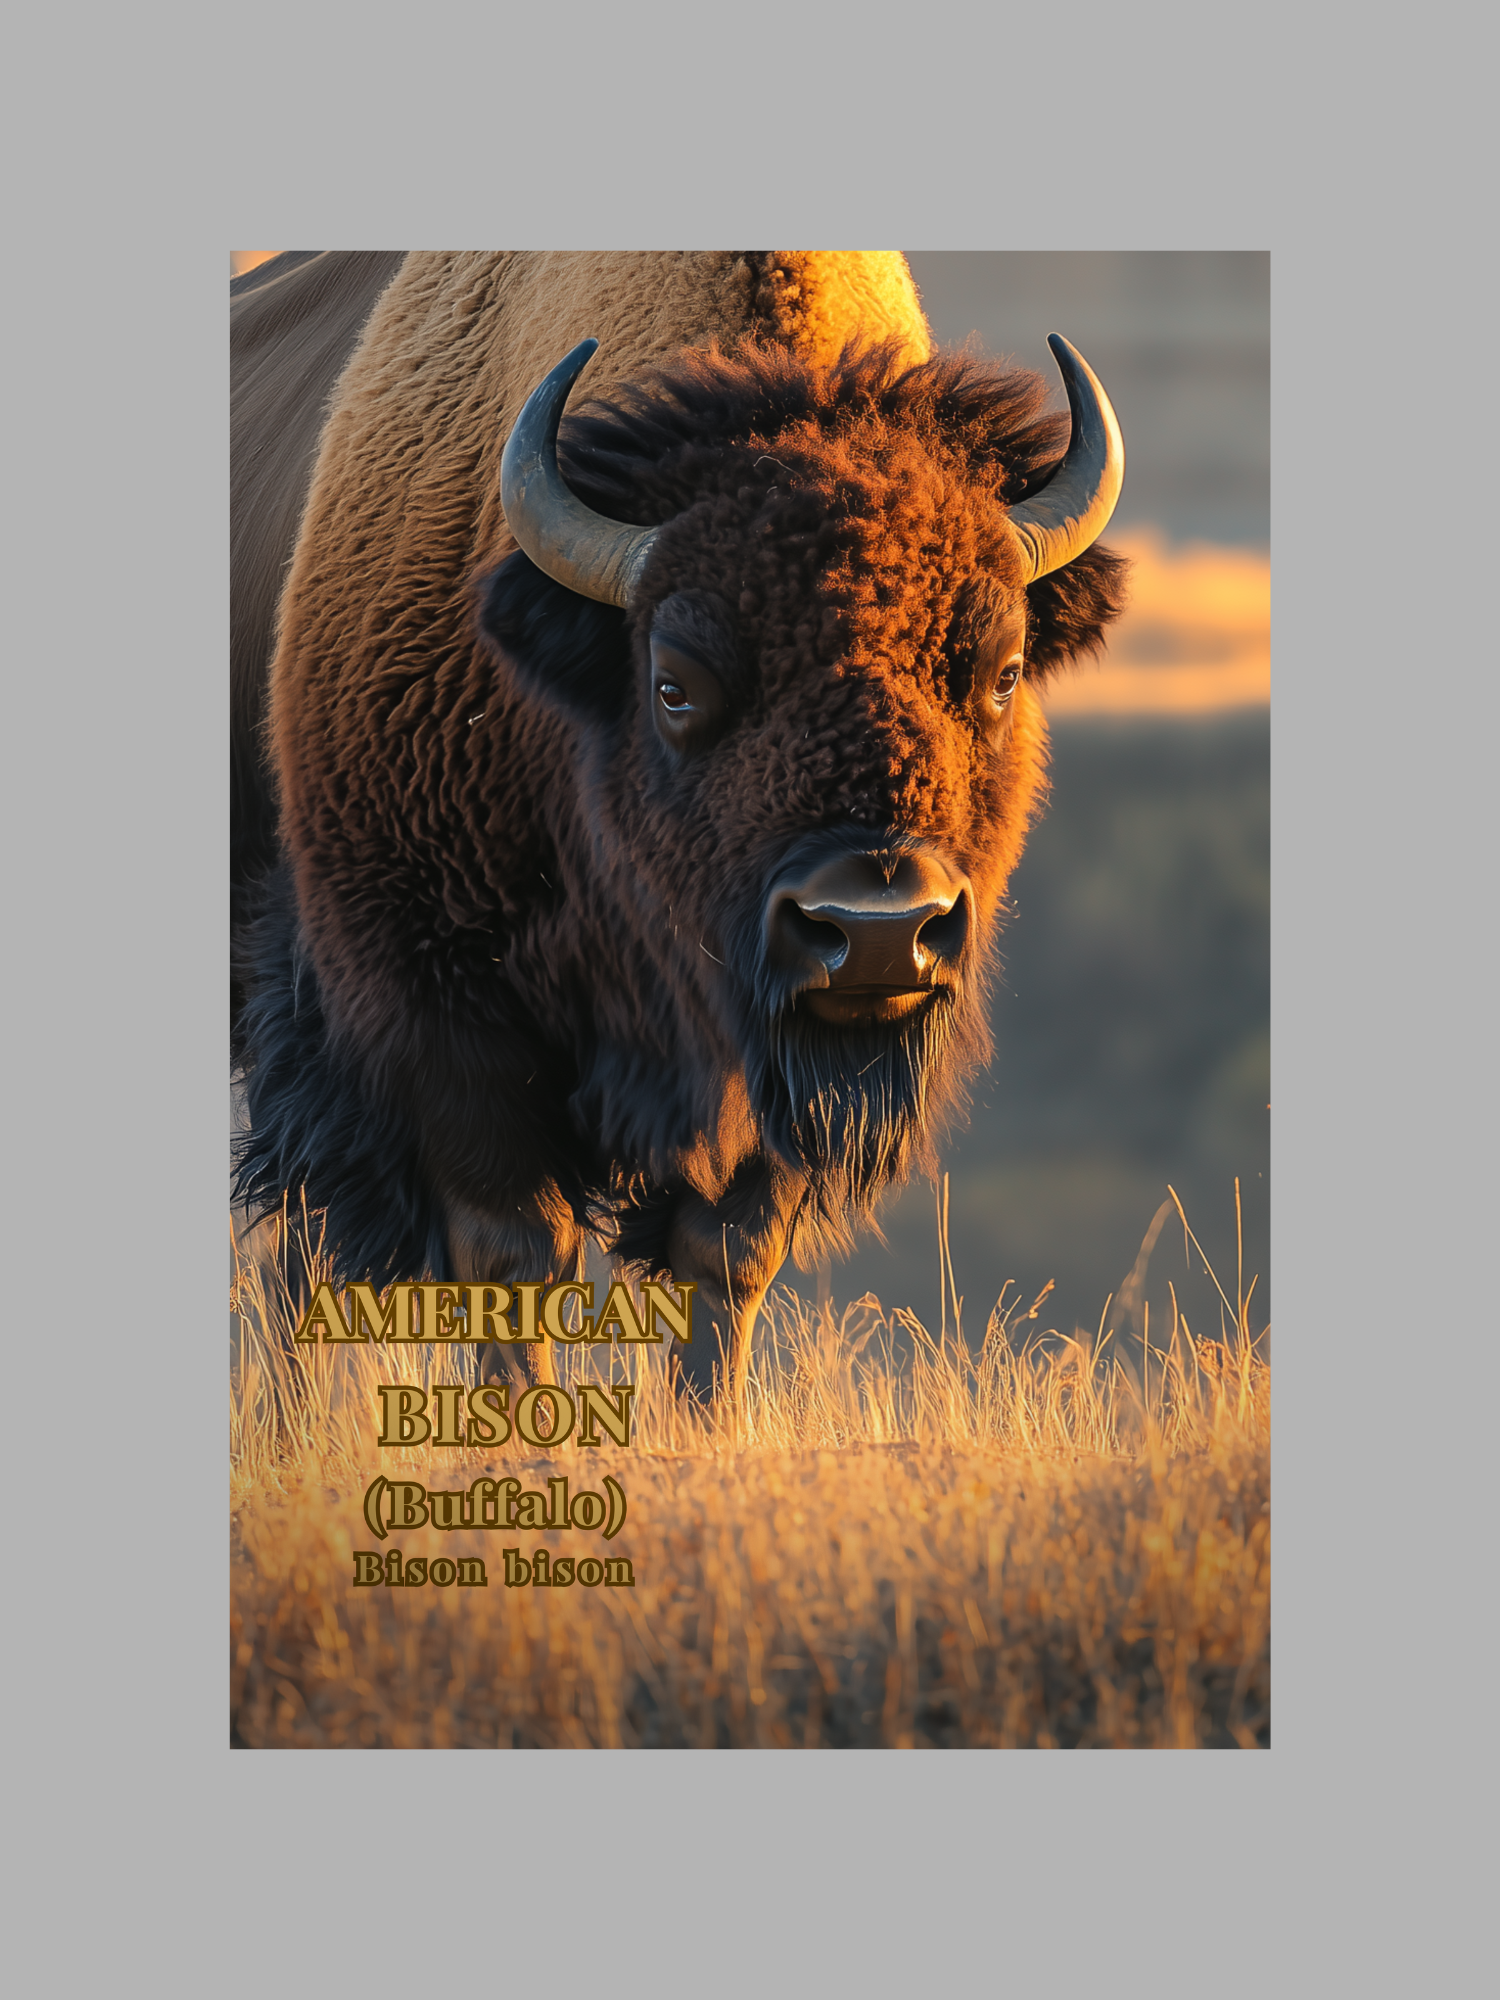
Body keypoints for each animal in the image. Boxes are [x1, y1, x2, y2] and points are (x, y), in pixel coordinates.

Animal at [232, 252, 1129, 1399]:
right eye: (675, 684)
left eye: (1002, 672)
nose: (878, 931)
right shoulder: (434, 1009)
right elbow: (514, 1254)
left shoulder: (768, 1067)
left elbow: (725, 1255)